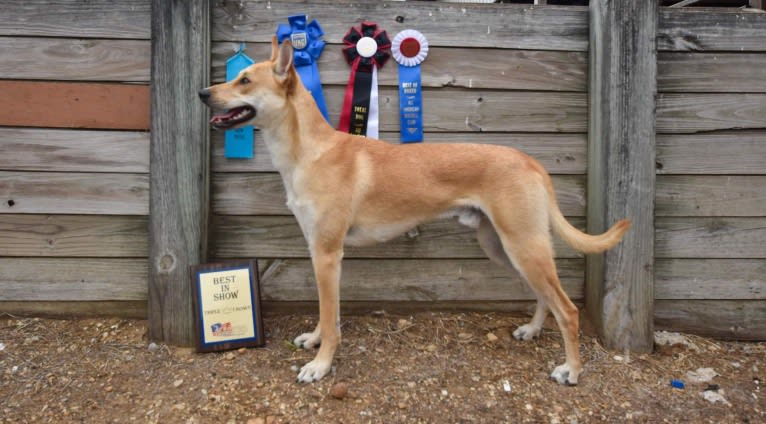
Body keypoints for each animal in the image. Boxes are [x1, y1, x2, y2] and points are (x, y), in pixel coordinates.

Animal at [201, 38, 632, 386]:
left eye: (244, 81)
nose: (203, 93)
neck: (310, 151)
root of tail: (531, 161)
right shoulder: (319, 253)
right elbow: (329, 315)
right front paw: (315, 341)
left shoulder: (327, 255)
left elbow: (330, 316)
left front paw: (320, 366)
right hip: (505, 248)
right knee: (543, 296)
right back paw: (532, 330)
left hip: (524, 246)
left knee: (568, 309)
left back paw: (571, 370)